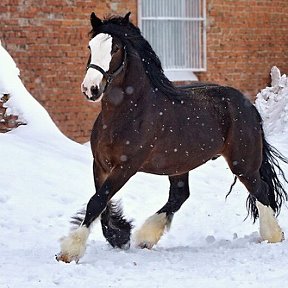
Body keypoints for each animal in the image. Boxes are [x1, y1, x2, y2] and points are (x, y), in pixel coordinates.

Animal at [56, 12, 288, 262]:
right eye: (90, 46)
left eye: (115, 48)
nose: (90, 89)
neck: (127, 112)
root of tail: (248, 105)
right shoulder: (100, 164)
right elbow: (101, 202)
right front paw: (119, 235)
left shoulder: (126, 167)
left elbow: (97, 200)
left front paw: (69, 252)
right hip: (179, 165)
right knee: (179, 195)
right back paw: (145, 238)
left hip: (242, 163)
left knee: (260, 191)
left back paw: (273, 236)